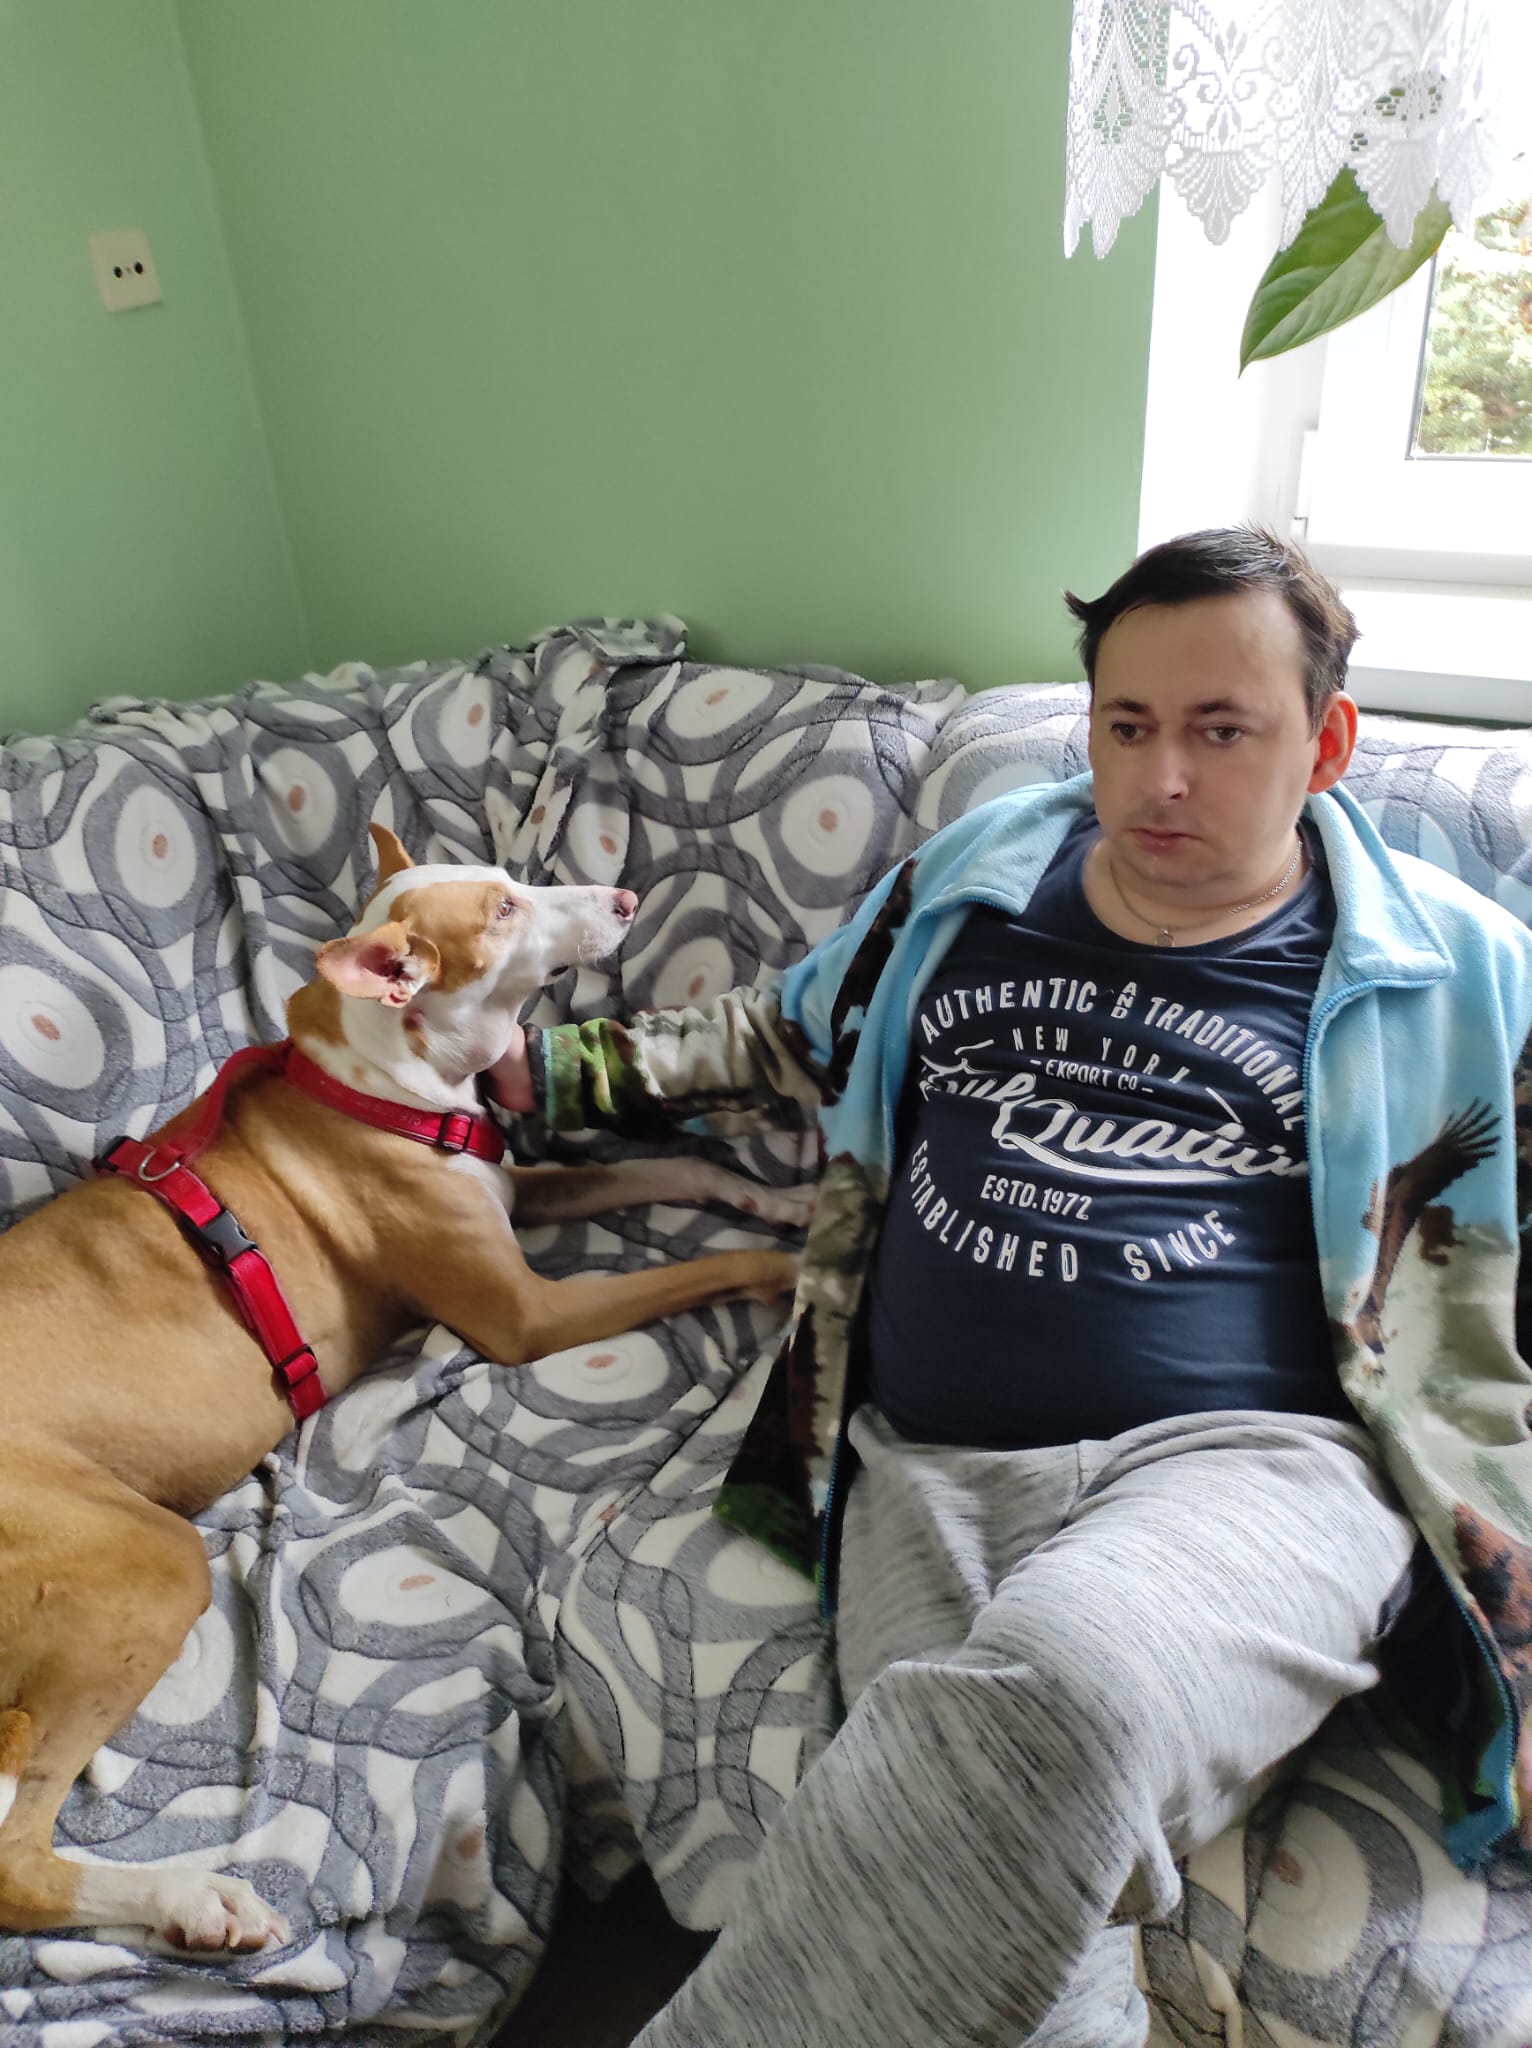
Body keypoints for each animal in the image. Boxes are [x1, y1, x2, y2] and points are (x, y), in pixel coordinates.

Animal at [0, 825, 805, 1953]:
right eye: (504, 910)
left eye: (514, 880)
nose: (624, 896)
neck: (384, 1080)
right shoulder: (525, 1315)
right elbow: (696, 1266)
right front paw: (793, 1261)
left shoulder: (519, 1191)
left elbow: (671, 1174)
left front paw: (774, 1195)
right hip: (147, 1562)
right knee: (16, 1856)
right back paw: (191, 1897)